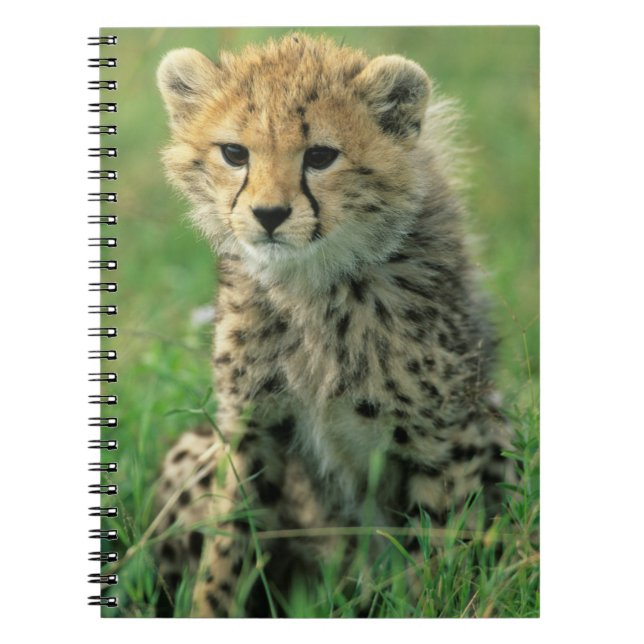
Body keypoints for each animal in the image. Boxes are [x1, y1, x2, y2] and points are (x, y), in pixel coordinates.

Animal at [153, 32, 516, 617]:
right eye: (235, 153)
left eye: (320, 156)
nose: (269, 215)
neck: (312, 284)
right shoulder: (252, 426)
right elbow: (229, 545)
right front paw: (211, 609)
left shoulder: (443, 436)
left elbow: (439, 549)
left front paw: (435, 603)